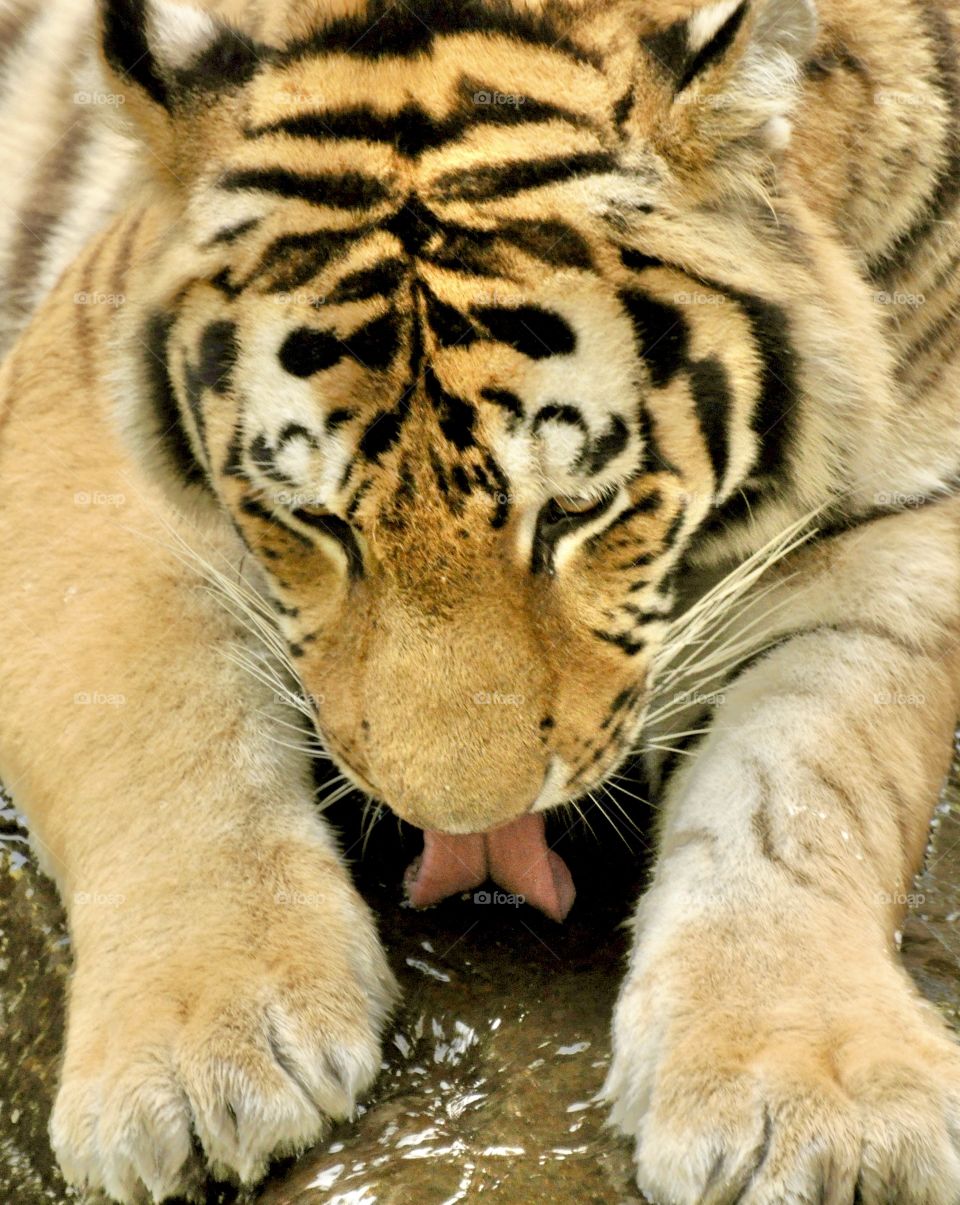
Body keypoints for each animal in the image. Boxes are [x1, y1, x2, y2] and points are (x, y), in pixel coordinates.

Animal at [5, 0, 958, 1195]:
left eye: (577, 511)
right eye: (315, 520)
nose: (466, 830)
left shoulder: (907, 516)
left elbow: (810, 775)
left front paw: (809, 1100)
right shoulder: (73, 405)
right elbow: (155, 717)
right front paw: (200, 1051)